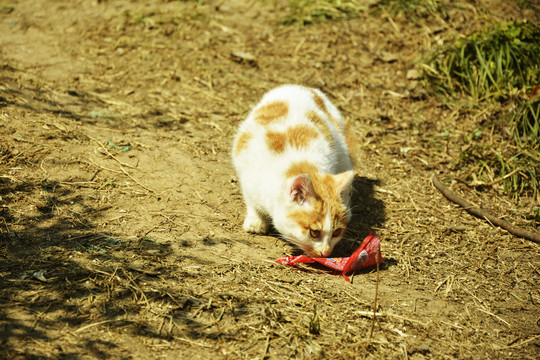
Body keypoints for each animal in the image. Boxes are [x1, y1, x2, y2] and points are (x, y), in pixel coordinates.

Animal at [231, 83, 354, 258]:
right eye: (314, 233)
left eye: (337, 232)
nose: (326, 252)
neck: (300, 164)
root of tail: (301, 87)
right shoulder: (248, 176)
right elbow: (251, 201)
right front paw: (256, 221)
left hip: (342, 149)